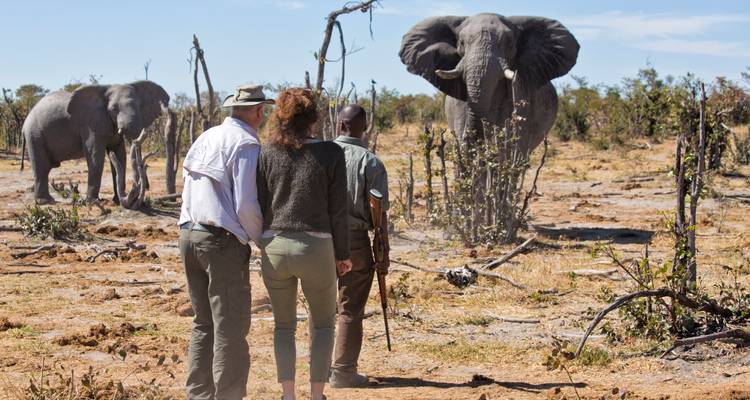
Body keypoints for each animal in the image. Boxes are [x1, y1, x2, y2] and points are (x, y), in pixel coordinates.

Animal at [23, 80, 169, 205]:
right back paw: (46, 202)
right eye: (114, 109)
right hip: (35, 134)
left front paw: (117, 201)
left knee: (46, 167)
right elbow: (95, 157)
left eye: (140, 106)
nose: (147, 188)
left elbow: (119, 155)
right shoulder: (91, 124)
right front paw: (93, 202)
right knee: (41, 166)